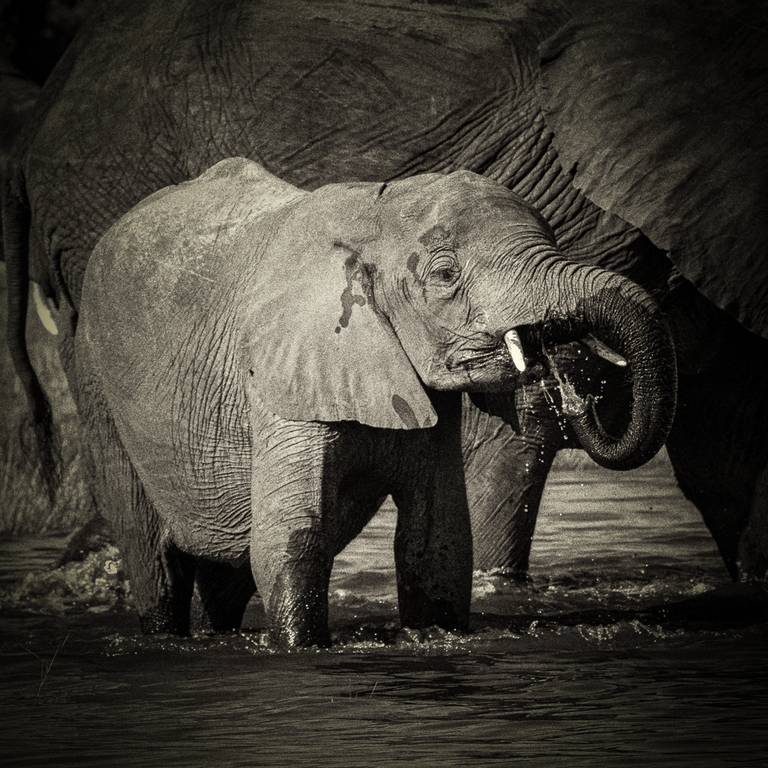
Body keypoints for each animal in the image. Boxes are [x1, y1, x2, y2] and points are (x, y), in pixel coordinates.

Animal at [74, 158, 675, 645]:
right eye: (445, 275)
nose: (574, 389)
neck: (375, 215)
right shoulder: (279, 374)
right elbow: (291, 537)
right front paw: (302, 651)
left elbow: (437, 541)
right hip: (96, 389)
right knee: (154, 562)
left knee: (225, 577)